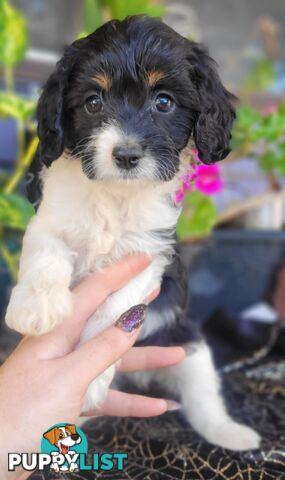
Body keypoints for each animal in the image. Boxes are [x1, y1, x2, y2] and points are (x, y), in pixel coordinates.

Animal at [6, 15, 260, 450]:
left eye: (164, 102)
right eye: (93, 102)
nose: (125, 155)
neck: (115, 194)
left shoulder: (148, 256)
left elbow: (114, 309)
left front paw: (91, 377)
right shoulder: (49, 221)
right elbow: (46, 255)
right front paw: (36, 308)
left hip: (189, 348)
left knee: (204, 400)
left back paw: (232, 434)